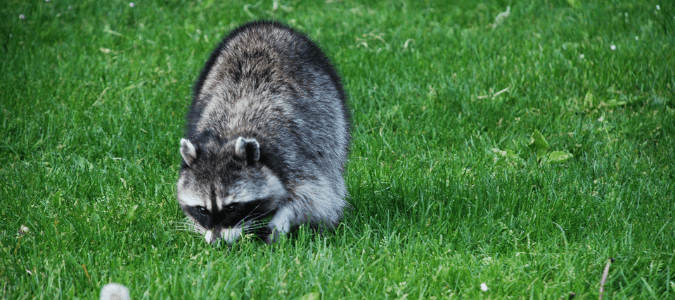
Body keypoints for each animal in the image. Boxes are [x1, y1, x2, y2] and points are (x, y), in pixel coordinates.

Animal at [177, 20, 352, 244]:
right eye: (202, 209)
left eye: (232, 207)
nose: (217, 243)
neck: (228, 135)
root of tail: (265, 25)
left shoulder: (293, 156)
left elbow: (314, 197)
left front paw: (279, 222)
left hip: (331, 110)